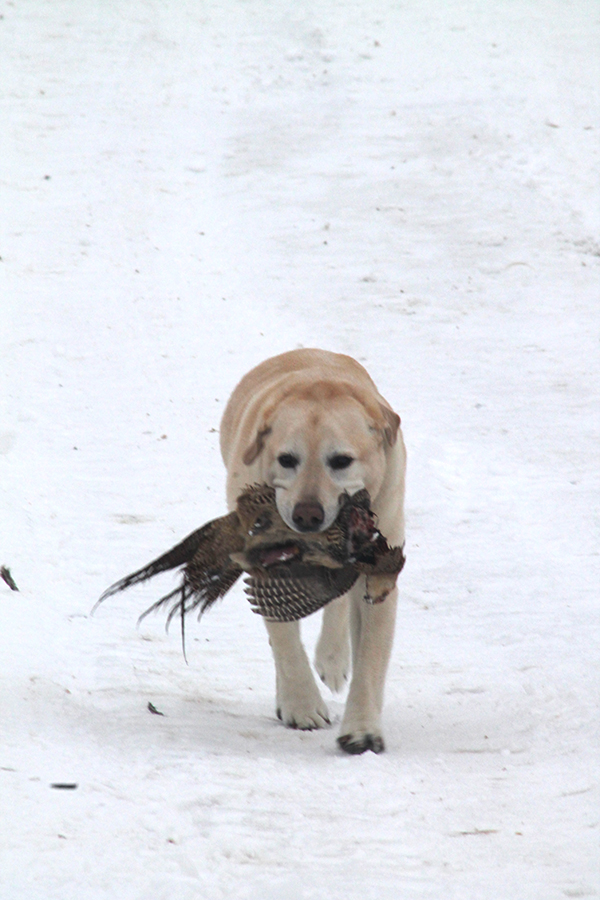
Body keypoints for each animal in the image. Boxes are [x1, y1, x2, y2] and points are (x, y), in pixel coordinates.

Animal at [218, 348, 406, 756]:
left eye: (341, 460)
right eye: (287, 459)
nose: (308, 514)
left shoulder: (379, 572)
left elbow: (371, 656)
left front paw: (362, 730)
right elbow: (284, 639)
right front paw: (301, 705)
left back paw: (332, 659)